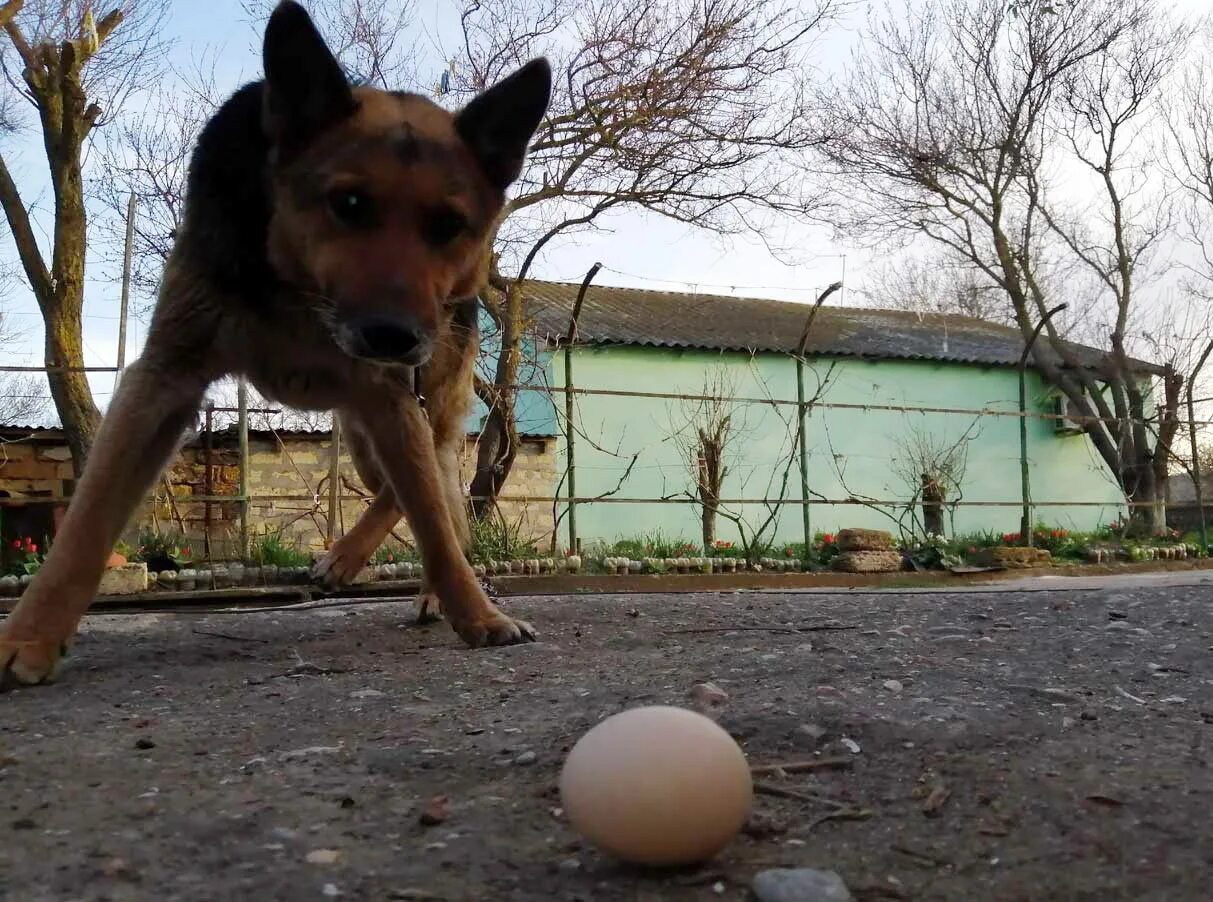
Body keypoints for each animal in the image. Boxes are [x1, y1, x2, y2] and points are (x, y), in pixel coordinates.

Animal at [0, 0, 550, 688]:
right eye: (348, 203)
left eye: (449, 226)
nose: (393, 336)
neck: (298, 288)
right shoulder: (162, 383)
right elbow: (87, 521)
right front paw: (30, 637)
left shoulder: (390, 393)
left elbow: (434, 522)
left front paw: (476, 615)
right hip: (365, 439)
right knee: (409, 488)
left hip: (414, 403)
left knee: (433, 493)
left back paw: (399, 578)